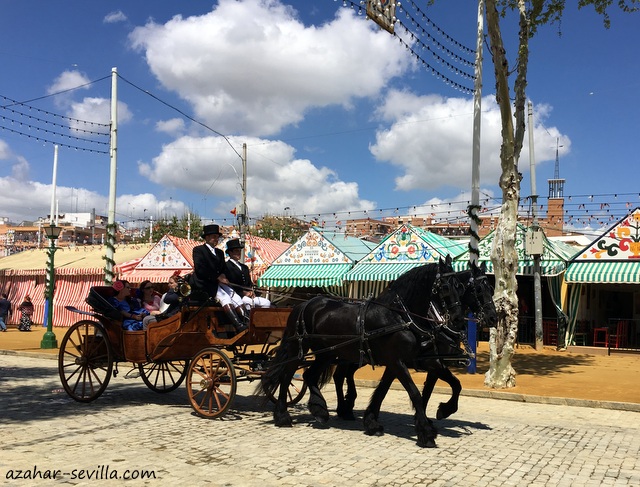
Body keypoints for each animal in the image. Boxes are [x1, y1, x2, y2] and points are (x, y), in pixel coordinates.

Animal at [258, 260, 464, 450]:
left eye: (460, 286)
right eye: (446, 287)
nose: (458, 318)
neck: (399, 317)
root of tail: (304, 304)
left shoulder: (409, 361)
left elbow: (388, 390)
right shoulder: (397, 362)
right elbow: (415, 393)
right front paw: (426, 433)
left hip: (327, 353)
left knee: (310, 375)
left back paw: (320, 411)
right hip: (298, 349)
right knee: (286, 376)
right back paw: (283, 416)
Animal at [332, 262, 498, 426]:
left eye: (490, 289)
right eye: (478, 289)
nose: (493, 318)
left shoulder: (431, 363)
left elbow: (432, 389)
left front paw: (425, 417)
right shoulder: (430, 363)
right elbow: (451, 385)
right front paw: (439, 412)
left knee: (343, 374)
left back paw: (345, 408)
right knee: (340, 375)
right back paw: (344, 408)